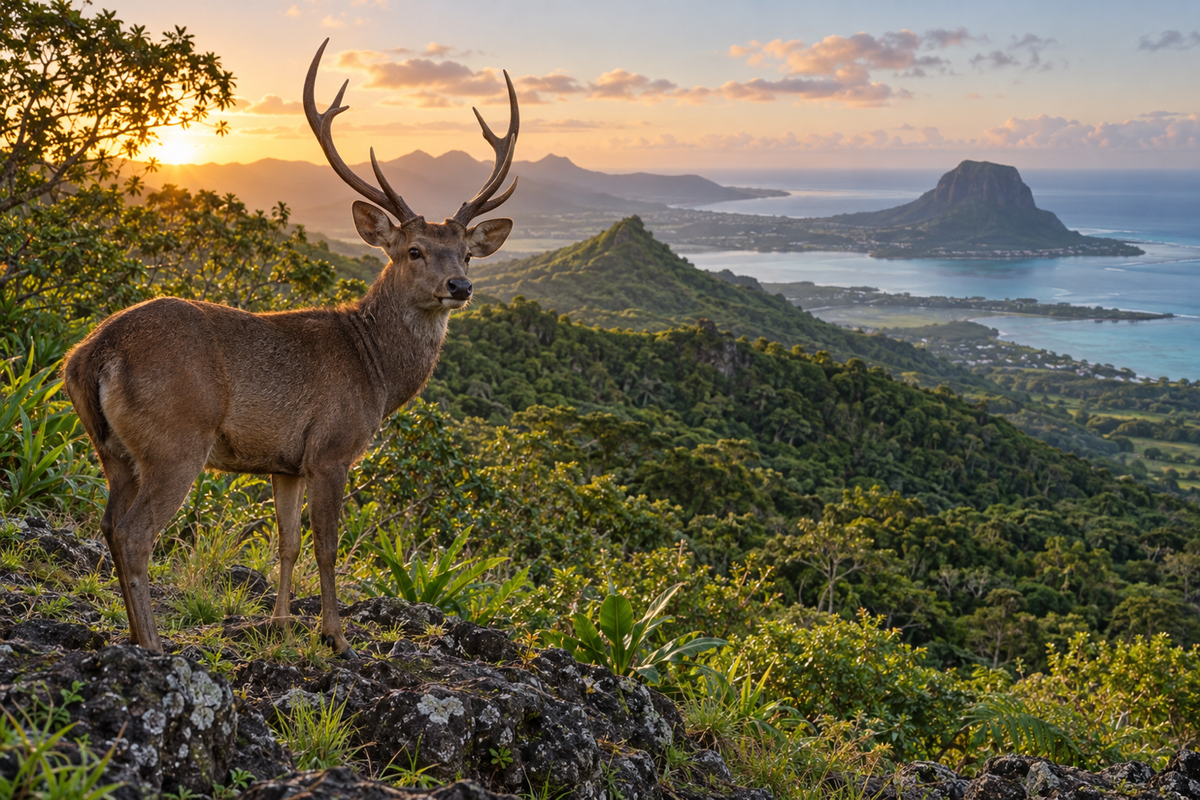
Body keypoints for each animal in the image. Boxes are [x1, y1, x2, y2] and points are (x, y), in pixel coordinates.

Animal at [61, 38, 518, 658]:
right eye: (414, 250)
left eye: (467, 253)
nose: (460, 286)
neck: (375, 372)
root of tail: (92, 356)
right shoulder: (332, 448)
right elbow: (327, 546)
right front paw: (336, 636)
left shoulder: (285, 463)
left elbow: (287, 542)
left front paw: (279, 621)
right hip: (176, 439)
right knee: (135, 533)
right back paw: (155, 646)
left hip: (112, 450)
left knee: (109, 525)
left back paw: (135, 636)